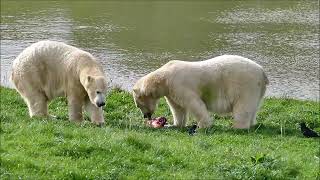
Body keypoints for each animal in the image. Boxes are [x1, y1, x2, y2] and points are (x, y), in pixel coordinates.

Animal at [132, 54, 268, 129]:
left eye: (138, 105)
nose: (146, 116)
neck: (164, 77)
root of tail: (262, 71)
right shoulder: (171, 91)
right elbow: (178, 109)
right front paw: (174, 125)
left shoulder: (178, 85)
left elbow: (194, 104)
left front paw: (203, 126)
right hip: (258, 89)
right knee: (253, 107)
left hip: (245, 84)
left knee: (243, 107)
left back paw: (238, 127)